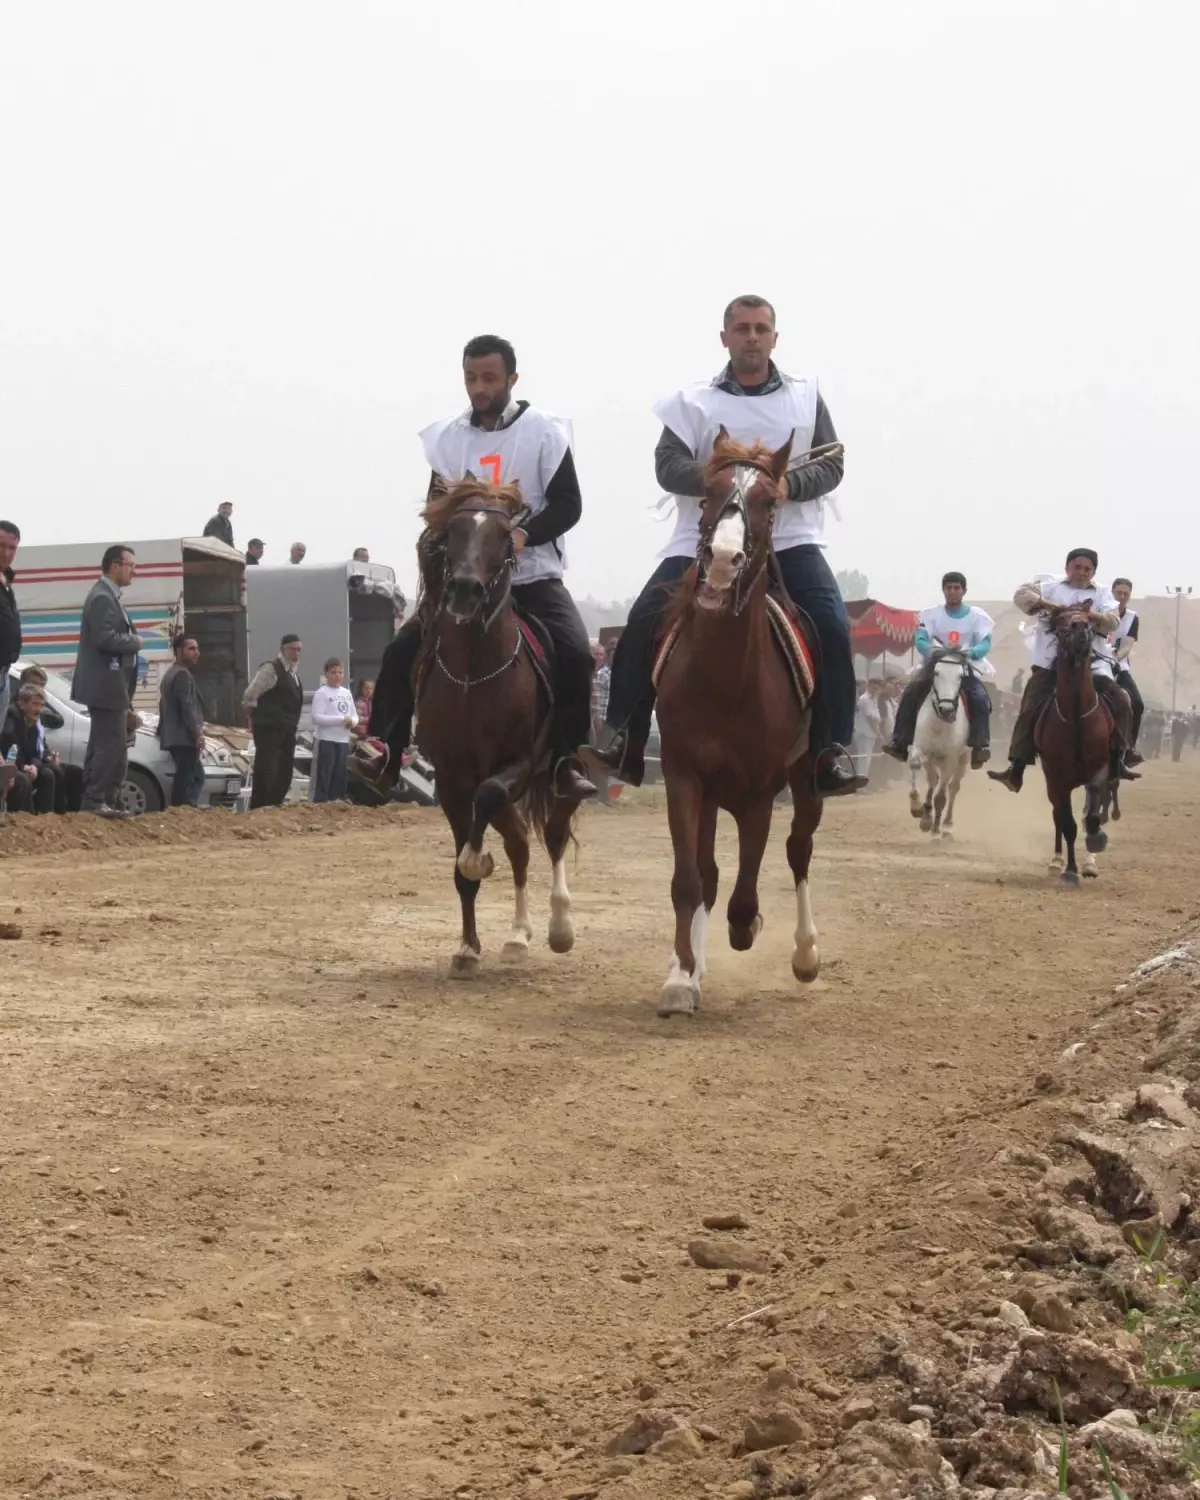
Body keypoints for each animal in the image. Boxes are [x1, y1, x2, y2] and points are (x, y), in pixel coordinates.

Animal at [399, 477, 576, 972]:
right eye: (454, 531)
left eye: (500, 534)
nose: (463, 590)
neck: (472, 676)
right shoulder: (451, 779)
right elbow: (467, 865)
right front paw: (466, 947)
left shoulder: (517, 765)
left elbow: (491, 801)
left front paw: (478, 859)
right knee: (519, 842)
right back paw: (518, 935)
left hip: (555, 776)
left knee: (553, 834)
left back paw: (557, 926)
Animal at [651, 435, 828, 1020]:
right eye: (709, 492)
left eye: (770, 503)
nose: (724, 562)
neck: (724, 679)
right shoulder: (684, 778)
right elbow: (689, 881)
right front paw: (680, 979)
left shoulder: (758, 793)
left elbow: (746, 892)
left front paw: (747, 928)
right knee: (707, 876)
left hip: (806, 779)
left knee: (799, 848)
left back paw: (805, 953)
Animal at [912, 651, 972, 846]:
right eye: (936, 673)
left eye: (960, 676)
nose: (946, 709)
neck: (938, 725)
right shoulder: (920, 749)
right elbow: (917, 767)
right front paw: (919, 811)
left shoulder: (950, 760)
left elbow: (941, 797)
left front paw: (936, 831)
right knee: (933, 780)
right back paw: (926, 816)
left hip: (963, 759)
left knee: (953, 789)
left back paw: (946, 826)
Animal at [1038, 609, 1110, 882]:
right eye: (1060, 623)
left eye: (1090, 619)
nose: (1079, 628)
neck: (1077, 717)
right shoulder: (1057, 777)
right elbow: (1067, 823)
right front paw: (1070, 870)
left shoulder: (1102, 767)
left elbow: (1093, 812)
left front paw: (1096, 839)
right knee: (1058, 815)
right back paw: (1057, 862)